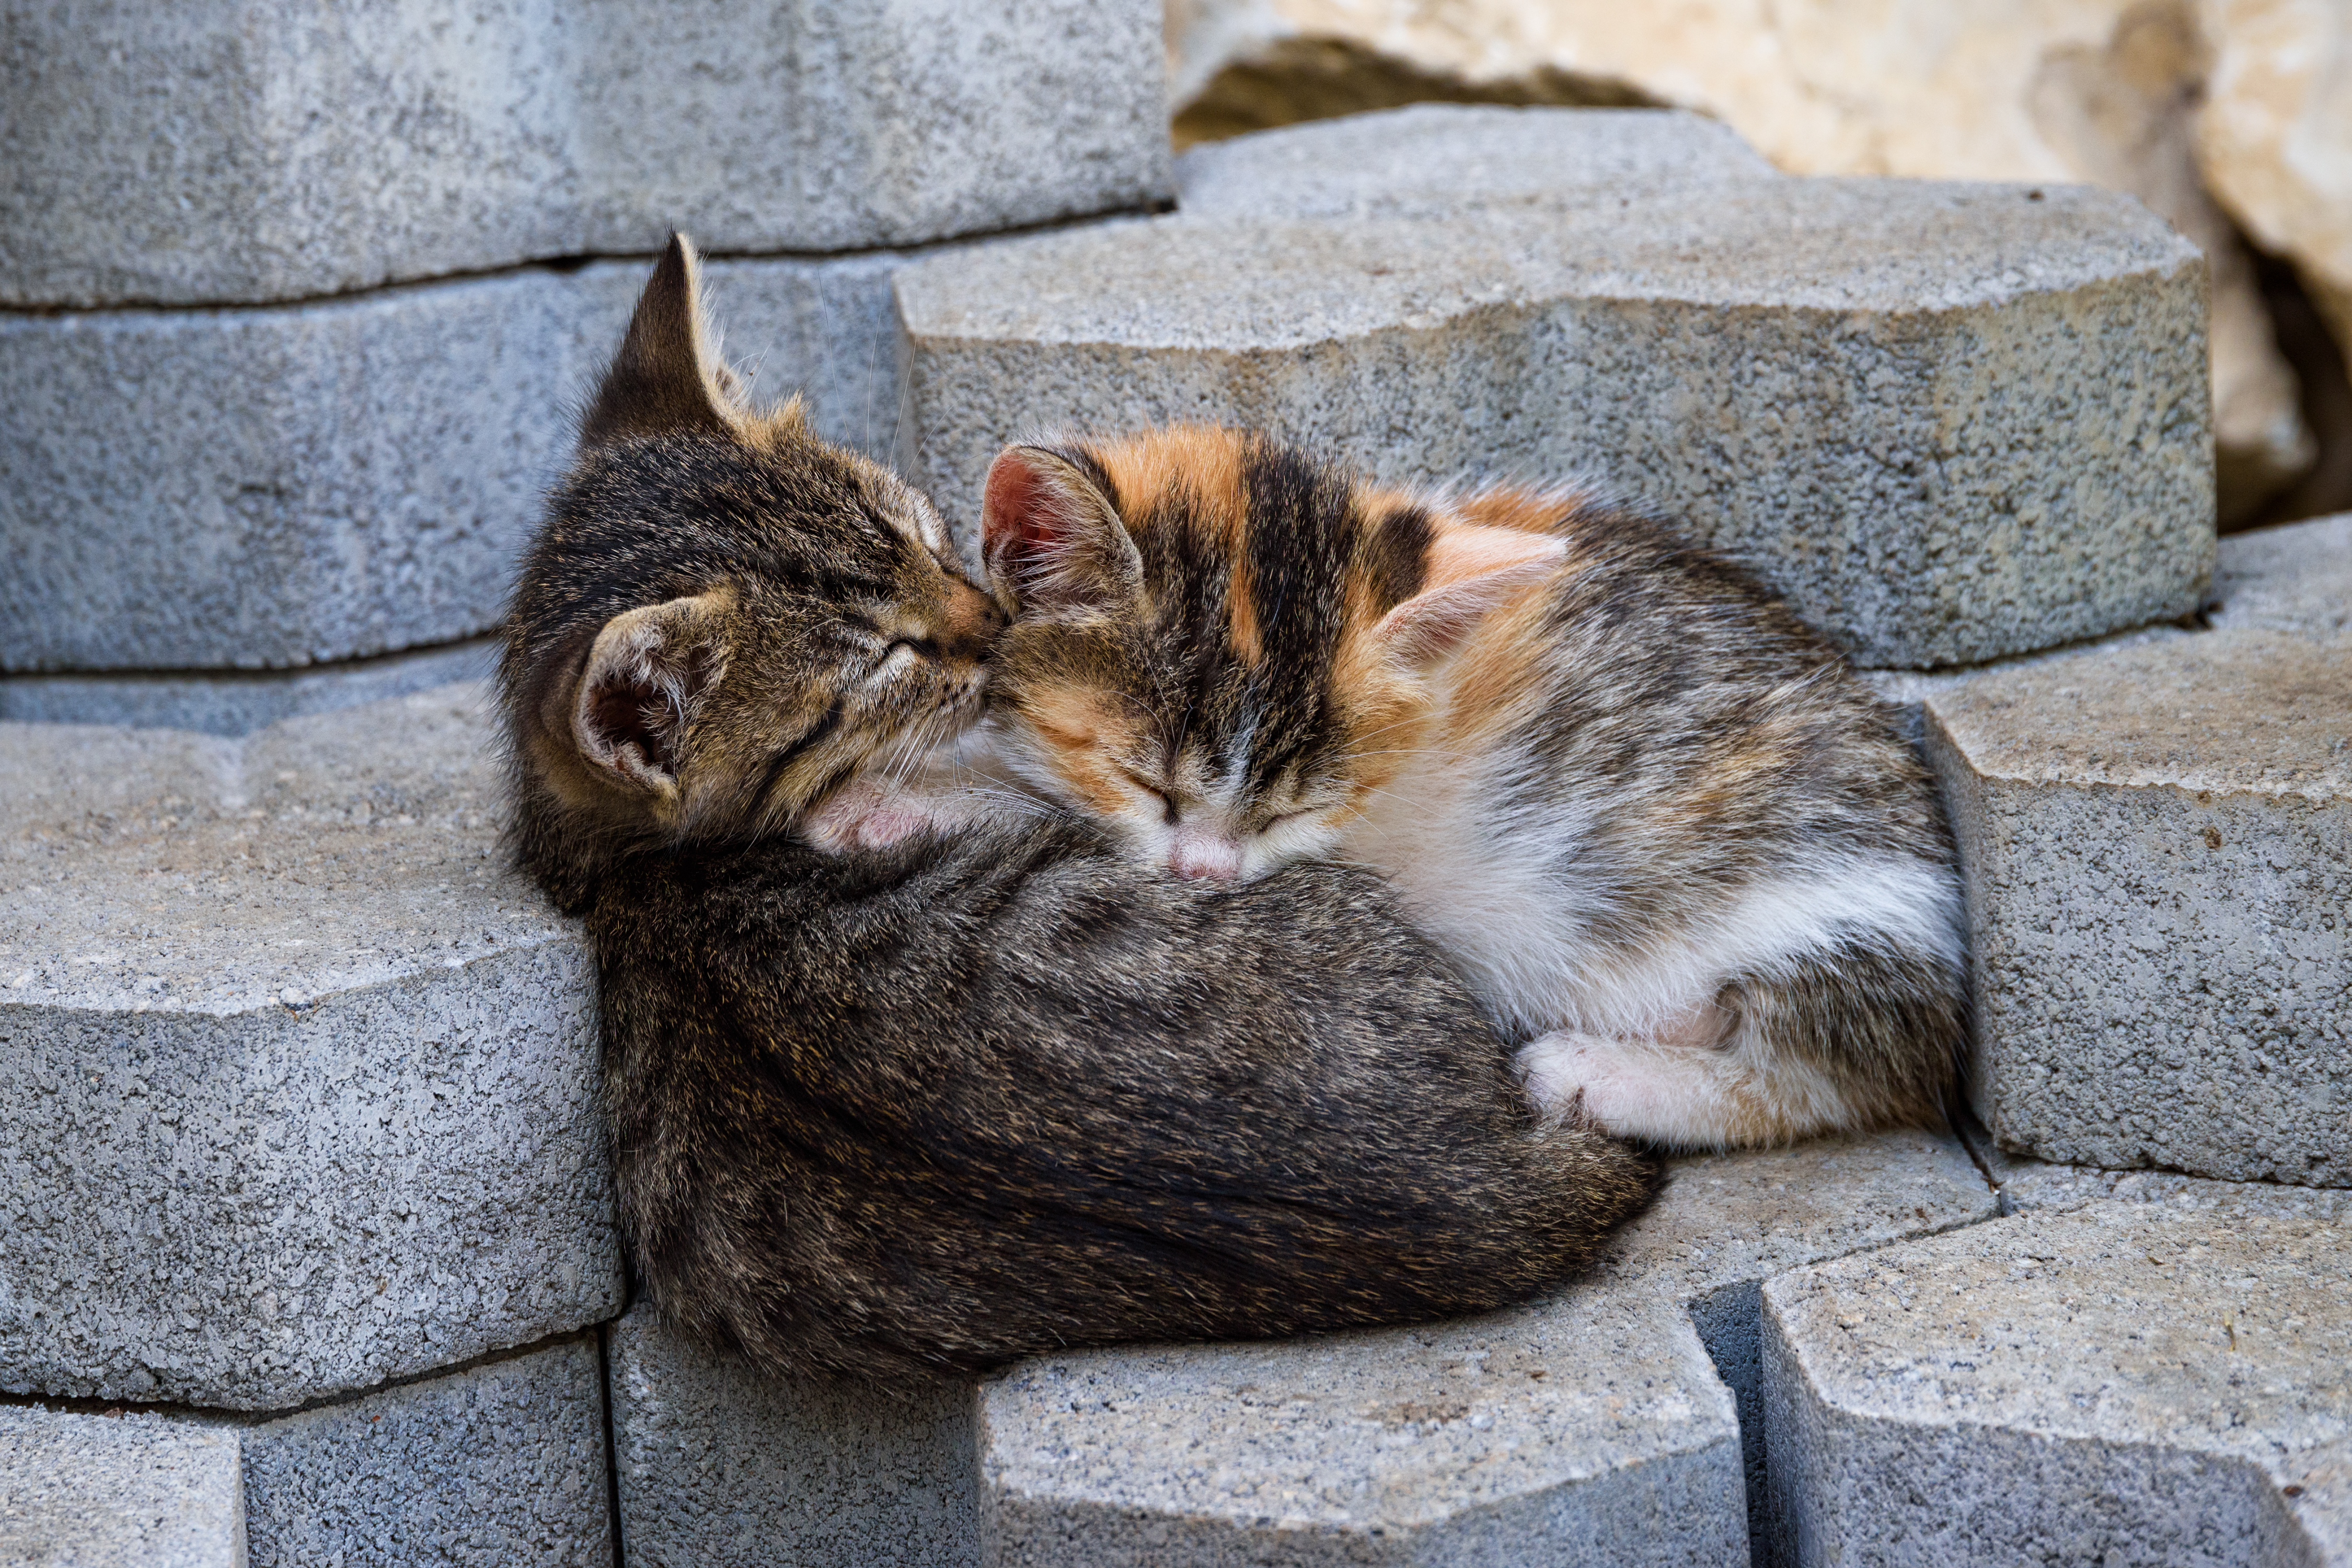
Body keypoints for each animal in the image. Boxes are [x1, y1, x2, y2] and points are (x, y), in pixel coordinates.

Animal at [974, 430, 1966, 1151]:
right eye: (1147, 784)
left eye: (1294, 811)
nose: (1205, 879)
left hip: (1823, 912)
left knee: (1835, 1080)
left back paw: (1596, 1074)